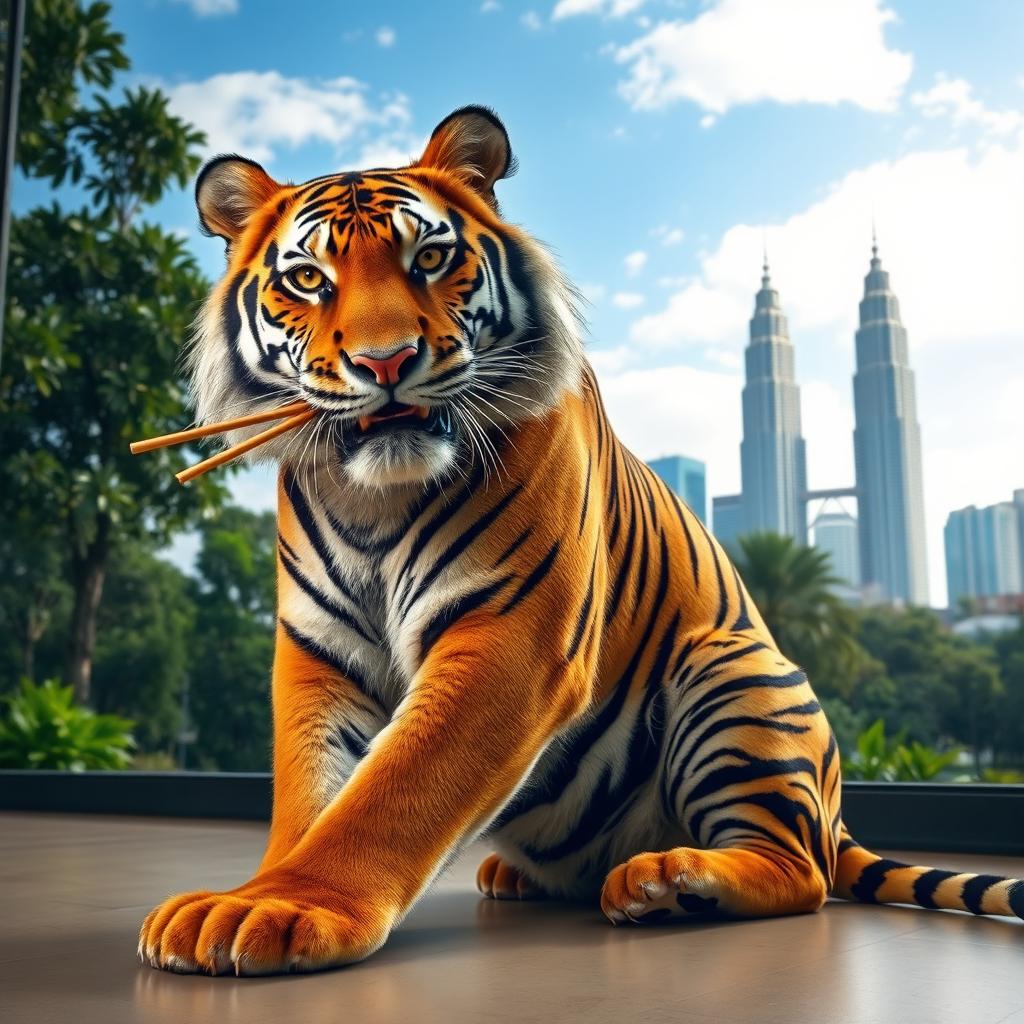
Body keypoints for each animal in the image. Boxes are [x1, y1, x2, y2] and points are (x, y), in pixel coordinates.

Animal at [139, 105, 1024, 976]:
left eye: (430, 258)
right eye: (309, 279)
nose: (385, 361)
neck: (374, 499)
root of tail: (835, 818)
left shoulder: (512, 635)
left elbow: (394, 788)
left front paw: (288, 907)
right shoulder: (320, 651)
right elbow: (315, 790)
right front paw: (257, 893)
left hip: (735, 674)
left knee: (798, 870)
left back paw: (668, 880)